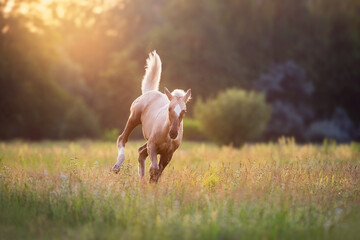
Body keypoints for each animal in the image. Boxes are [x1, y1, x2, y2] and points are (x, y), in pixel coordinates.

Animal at [112, 50, 191, 182]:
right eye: (169, 108)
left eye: (184, 111)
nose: (173, 133)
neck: (166, 136)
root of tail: (149, 92)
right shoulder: (152, 146)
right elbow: (154, 169)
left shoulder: (167, 155)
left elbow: (157, 173)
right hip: (134, 118)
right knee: (122, 138)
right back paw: (117, 167)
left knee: (141, 152)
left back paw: (142, 182)